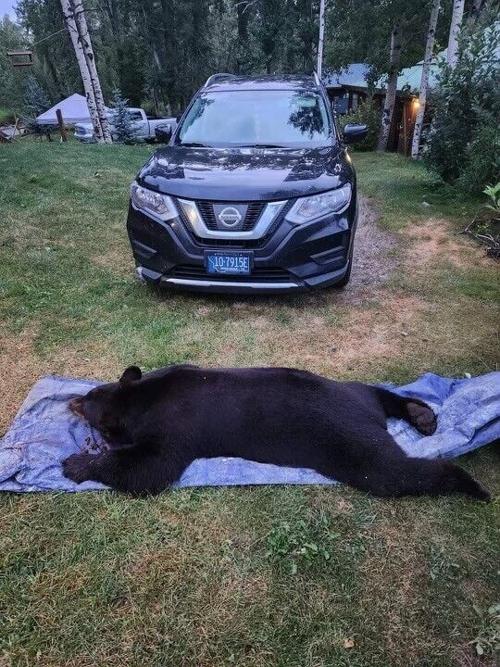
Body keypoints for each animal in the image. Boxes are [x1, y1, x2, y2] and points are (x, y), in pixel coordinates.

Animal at [63, 364, 490, 500]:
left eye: (87, 401)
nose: (71, 400)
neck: (143, 398)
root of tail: (369, 418)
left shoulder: (175, 430)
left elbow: (149, 468)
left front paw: (76, 463)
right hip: (350, 390)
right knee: (376, 391)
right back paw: (420, 413)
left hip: (355, 446)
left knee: (394, 472)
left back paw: (472, 485)